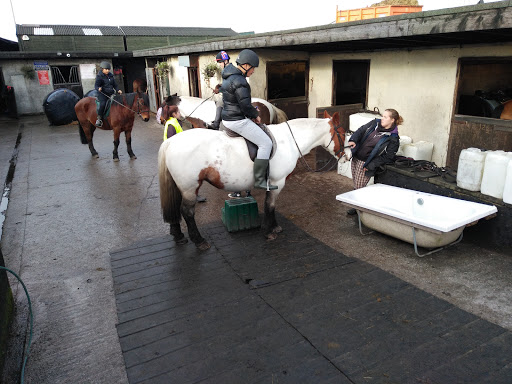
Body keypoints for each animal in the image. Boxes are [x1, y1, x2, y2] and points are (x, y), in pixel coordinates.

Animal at [157, 109, 348, 250]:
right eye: (342, 133)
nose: (347, 155)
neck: (288, 141)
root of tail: (171, 142)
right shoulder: (277, 182)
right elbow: (270, 205)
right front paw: (270, 230)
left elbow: (270, 206)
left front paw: (274, 227)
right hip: (190, 188)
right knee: (187, 212)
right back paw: (199, 240)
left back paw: (178, 235)